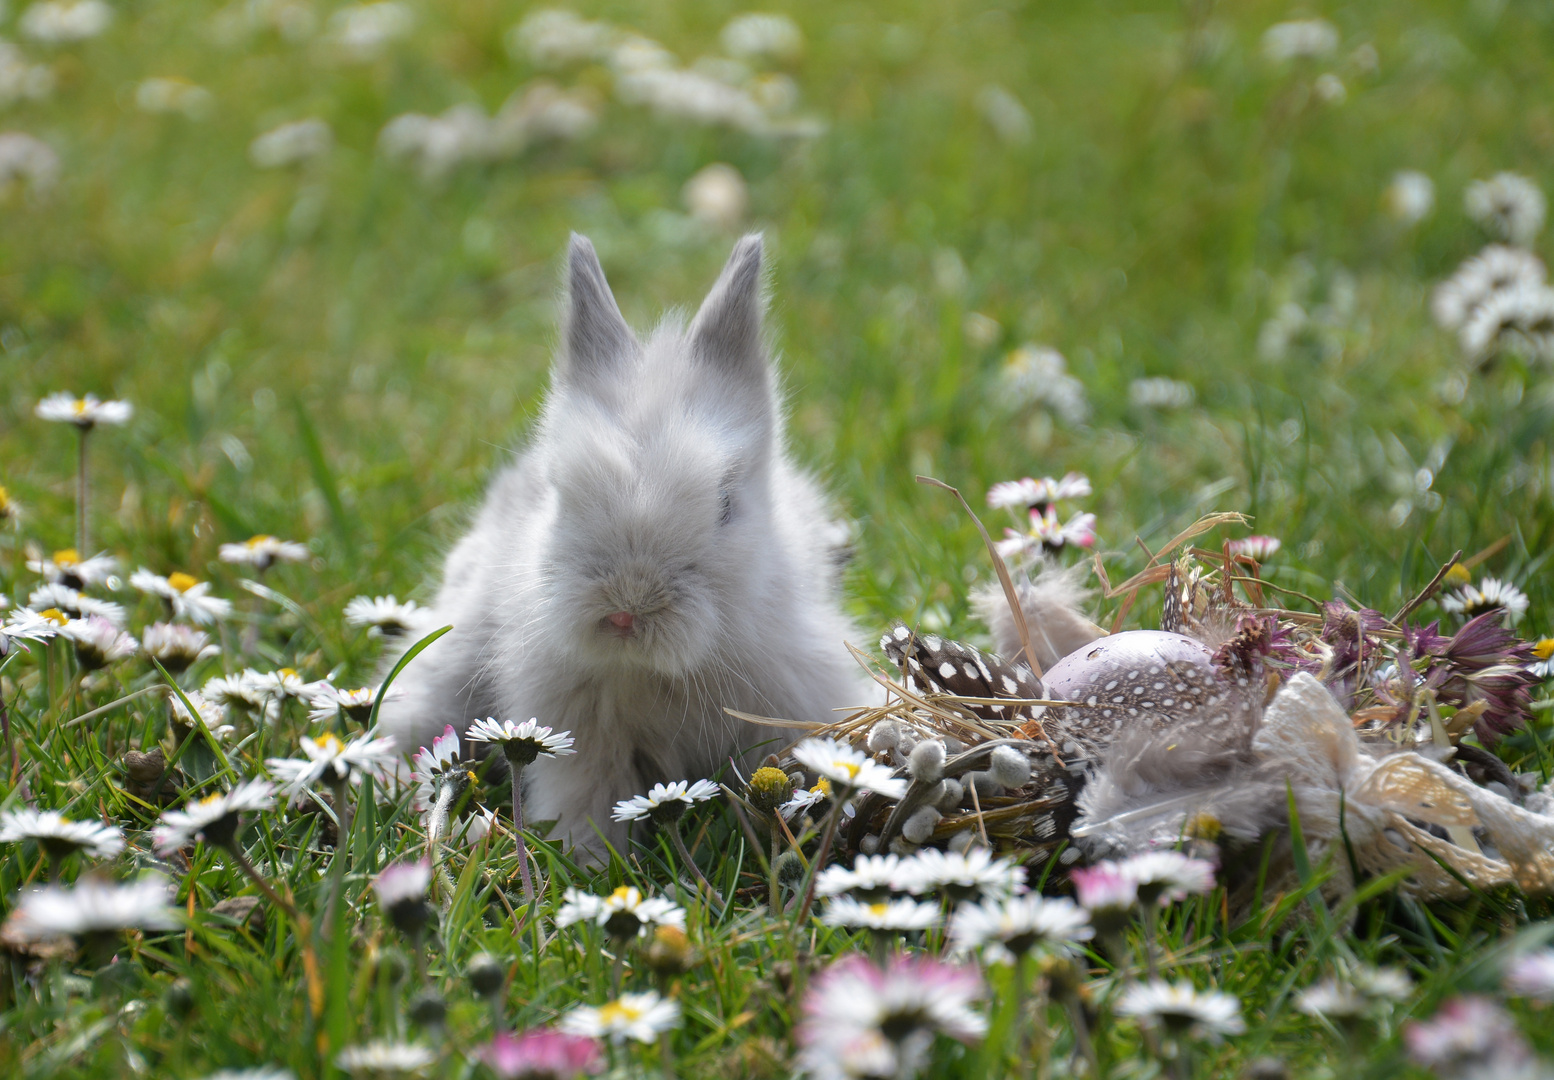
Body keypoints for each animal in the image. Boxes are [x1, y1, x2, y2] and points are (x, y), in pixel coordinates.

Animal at [369, 234, 870, 864]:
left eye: (726, 503)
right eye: (561, 493)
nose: (627, 610)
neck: (654, 673)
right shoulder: (578, 736)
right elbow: (589, 797)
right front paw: (592, 863)